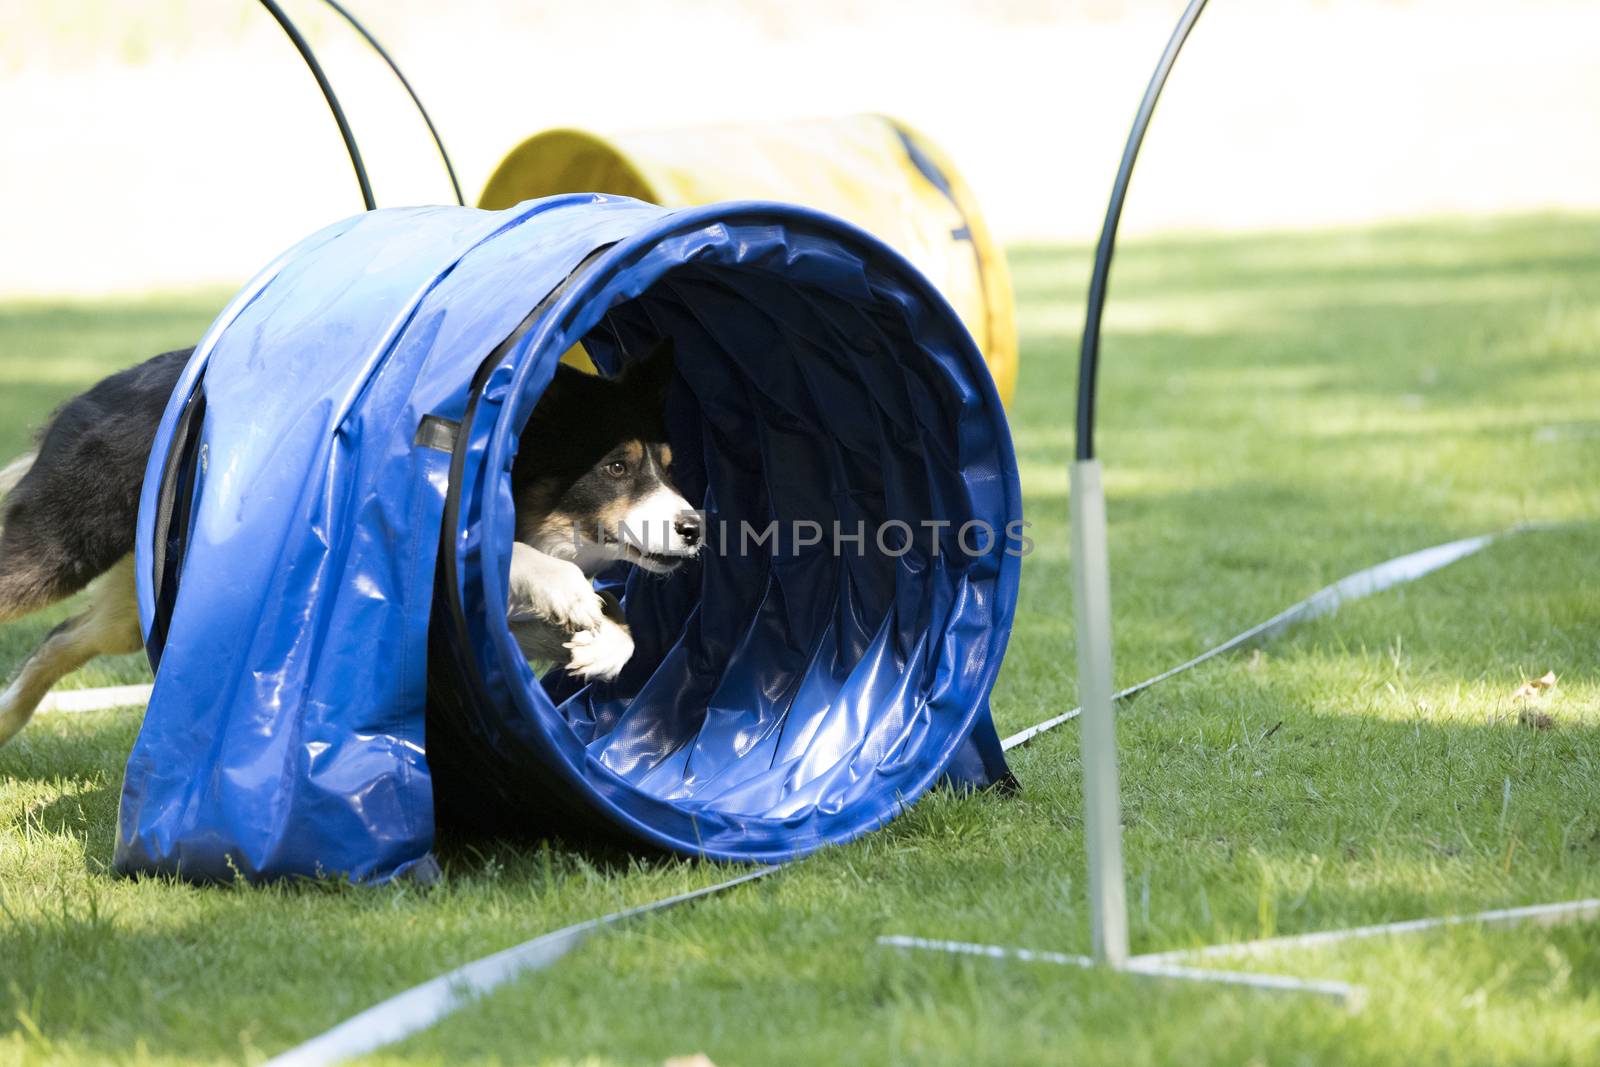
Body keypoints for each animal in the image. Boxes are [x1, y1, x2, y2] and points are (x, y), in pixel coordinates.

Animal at [0, 337, 700, 748]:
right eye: (616, 467)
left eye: (670, 466)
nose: (696, 528)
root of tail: (96, 388)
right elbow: (533, 563)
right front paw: (574, 597)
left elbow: (621, 625)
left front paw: (597, 647)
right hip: (62, 541)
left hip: (132, 603)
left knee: (59, 639)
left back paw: (7, 722)